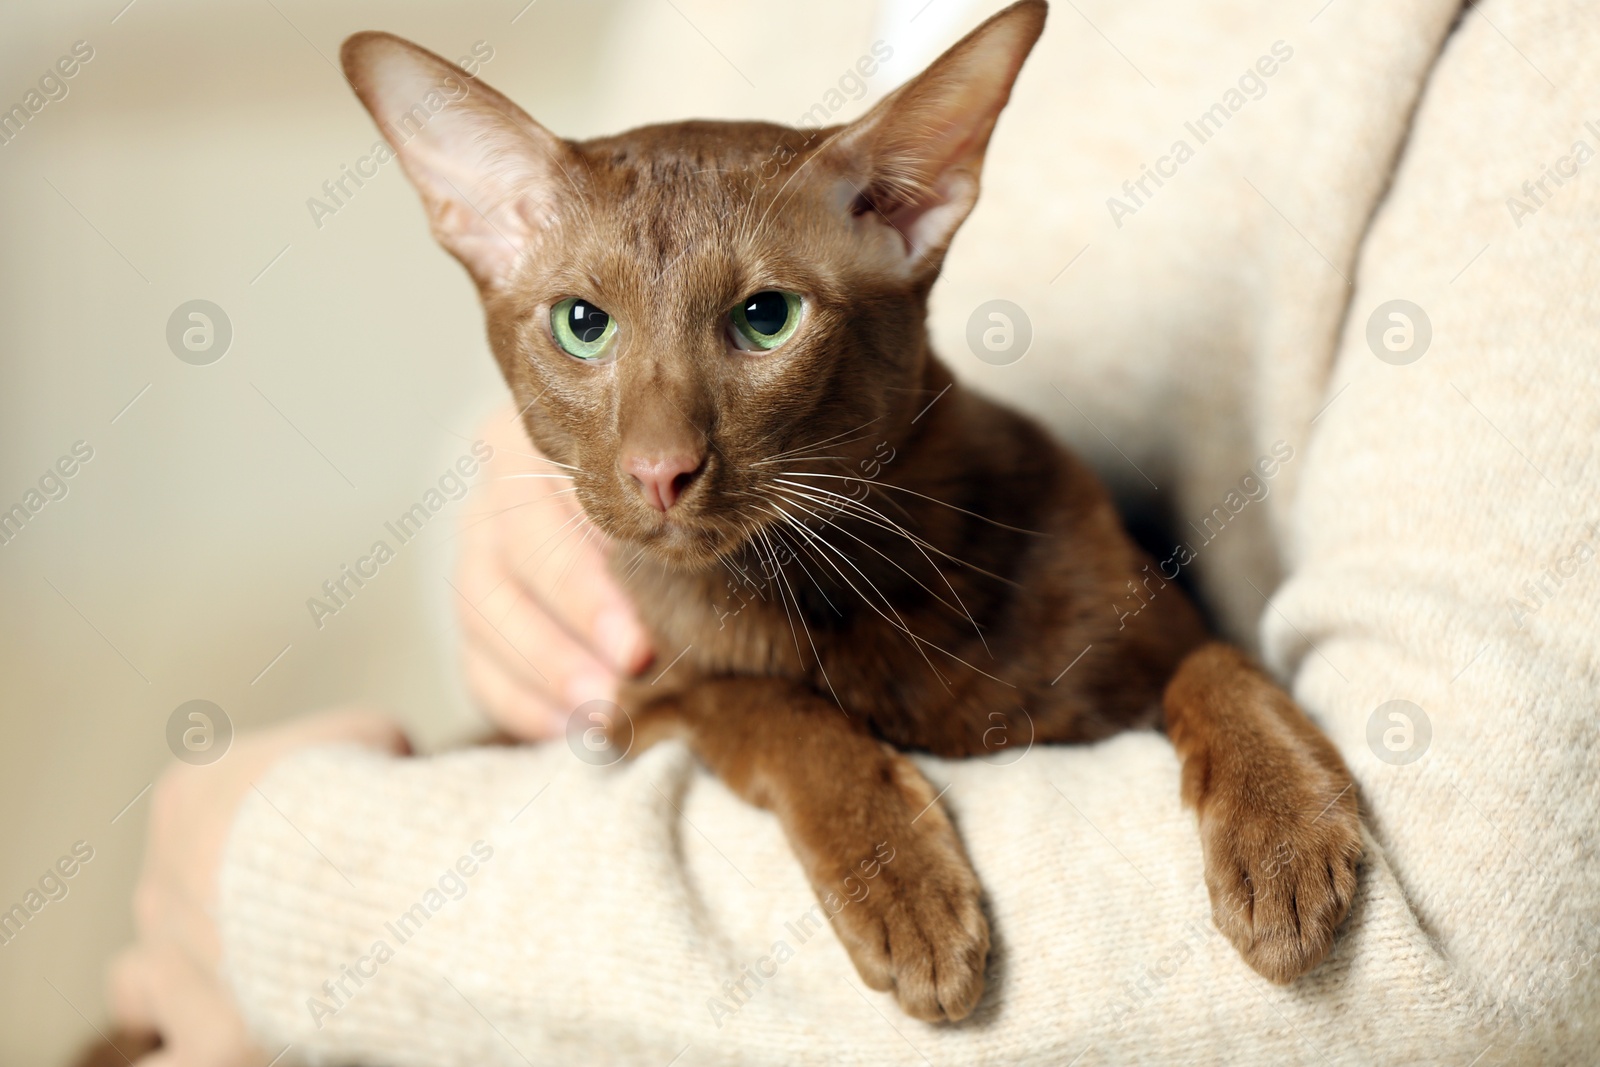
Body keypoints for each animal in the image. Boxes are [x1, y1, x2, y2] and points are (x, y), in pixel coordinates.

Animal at [340, 2, 1363, 1023]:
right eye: (582, 326)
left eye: (767, 317)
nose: (660, 470)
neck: (841, 579)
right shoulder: (637, 707)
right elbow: (772, 708)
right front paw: (906, 892)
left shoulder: (1152, 633)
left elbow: (1221, 665)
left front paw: (1285, 836)